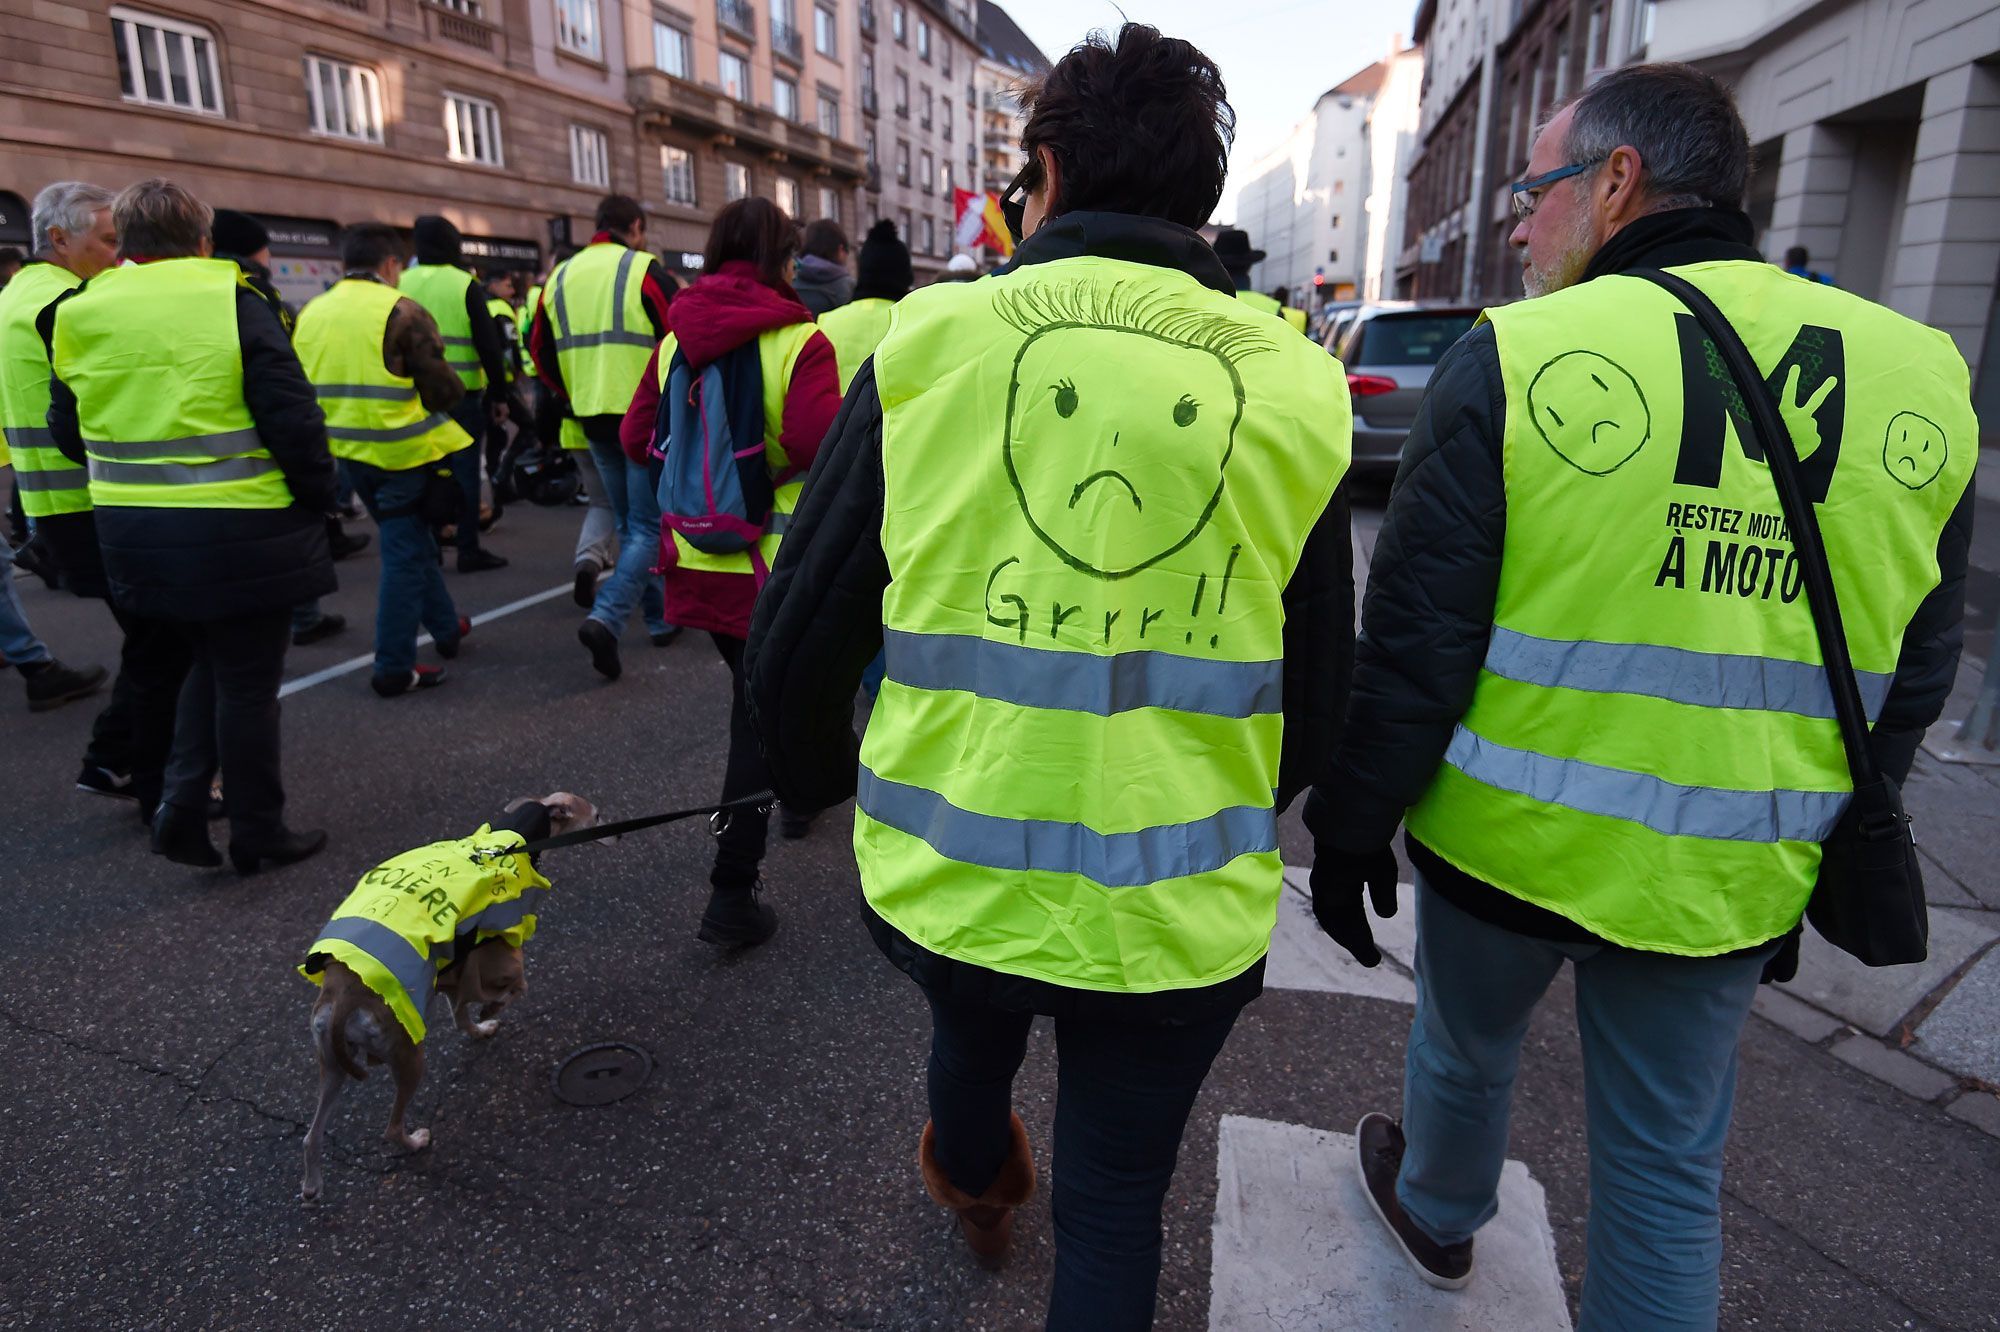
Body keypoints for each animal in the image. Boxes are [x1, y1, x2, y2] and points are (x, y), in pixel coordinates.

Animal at [296, 784, 592, 1200]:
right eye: (591, 812)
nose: (607, 826)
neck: (501, 841)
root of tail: (342, 1000)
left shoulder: (452, 974)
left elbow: (461, 1013)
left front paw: (480, 1026)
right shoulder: (503, 957)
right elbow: (514, 987)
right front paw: (490, 1013)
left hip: (334, 1063)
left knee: (311, 1137)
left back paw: (312, 1185)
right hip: (408, 1056)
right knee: (390, 1128)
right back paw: (415, 1141)